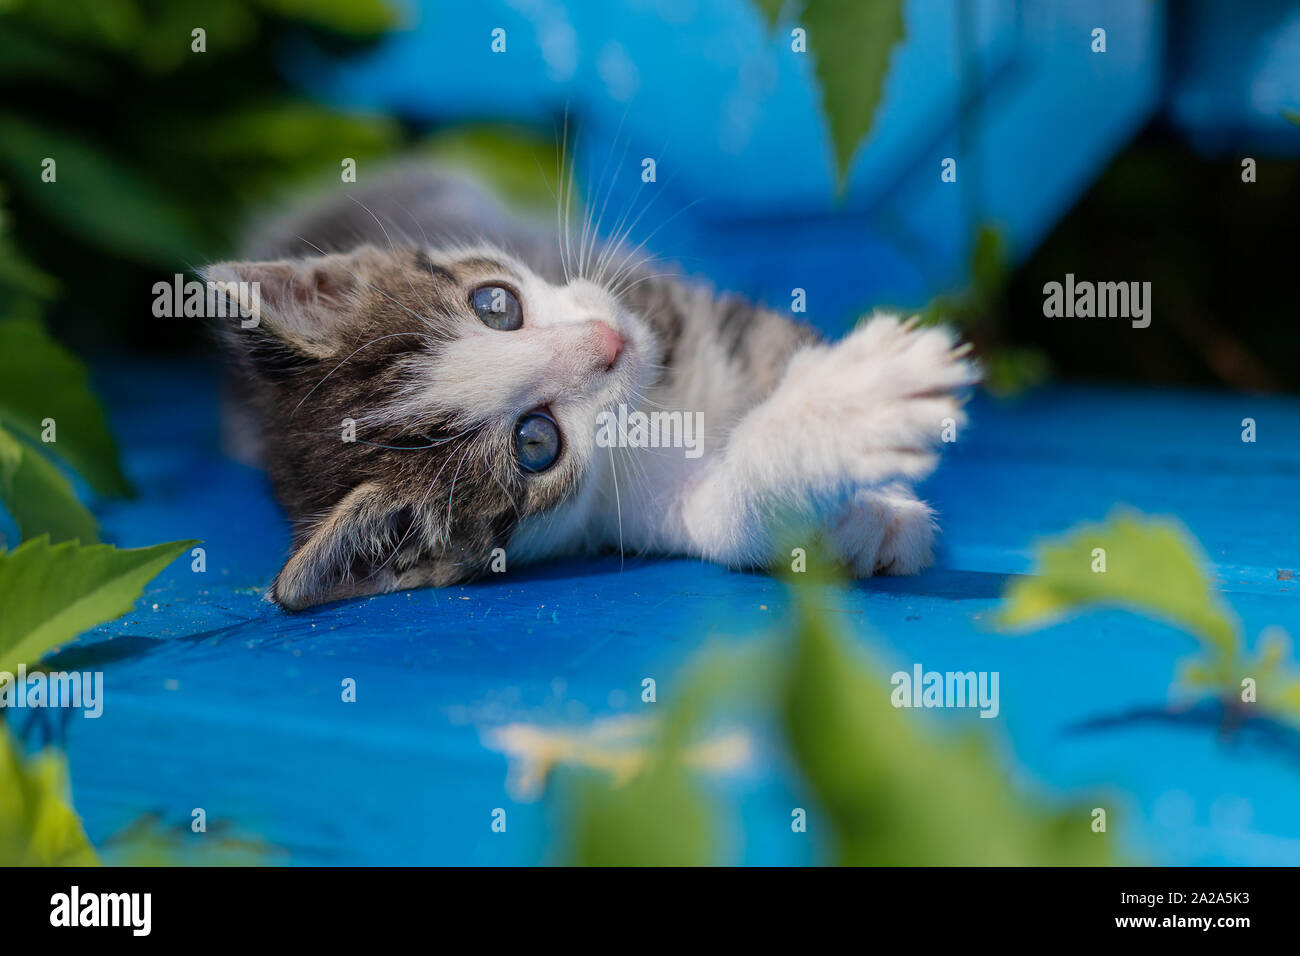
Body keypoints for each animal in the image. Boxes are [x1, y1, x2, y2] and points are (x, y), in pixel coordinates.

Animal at [202, 165, 977, 608]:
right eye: (535, 442)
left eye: (496, 304)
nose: (609, 342)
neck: (657, 402)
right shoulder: (609, 507)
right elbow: (720, 512)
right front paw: (844, 424)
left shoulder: (668, 307)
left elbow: (772, 347)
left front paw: (873, 483)